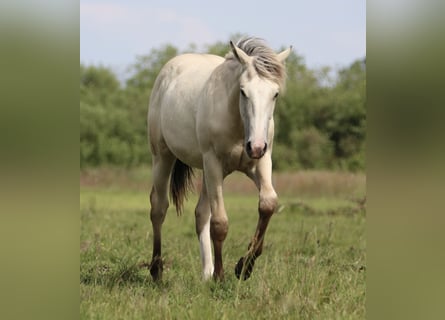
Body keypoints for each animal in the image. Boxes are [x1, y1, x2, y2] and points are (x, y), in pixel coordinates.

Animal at [147, 37, 292, 282]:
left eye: (275, 94)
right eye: (243, 92)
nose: (256, 146)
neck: (238, 125)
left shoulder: (261, 163)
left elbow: (268, 204)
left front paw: (244, 267)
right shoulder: (213, 162)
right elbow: (220, 223)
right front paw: (221, 276)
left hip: (208, 172)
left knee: (200, 214)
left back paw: (207, 273)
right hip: (163, 157)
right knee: (159, 207)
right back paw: (157, 270)